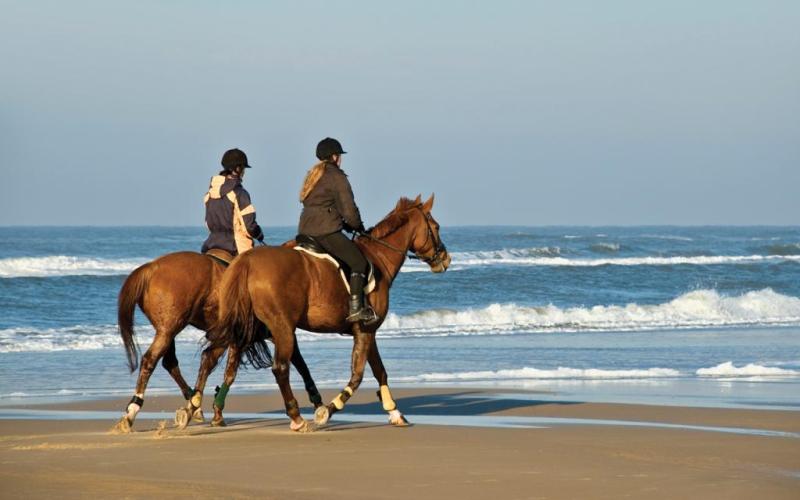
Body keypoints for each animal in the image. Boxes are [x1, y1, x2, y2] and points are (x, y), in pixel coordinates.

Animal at [113, 250, 323, 433]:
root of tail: (151, 268)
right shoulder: (275, 332)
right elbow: (298, 364)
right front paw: (317, 402)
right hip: (169, 329)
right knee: (151, 360)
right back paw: (133, 410)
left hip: (167, 330)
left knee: (169, 362)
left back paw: (192, 404)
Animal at [206, 194, 450, 432]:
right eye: (436, 227)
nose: (445, 259)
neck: (379, 257)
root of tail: (248, 261)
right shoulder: (365, 330)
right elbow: (357, 376)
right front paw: (328, 410)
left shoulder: (367, 332)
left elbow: (380, 371)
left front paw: (395, 412)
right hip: (281, 328)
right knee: (279, 368)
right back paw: (296, 418)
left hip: (251, 327)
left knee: (229, 363)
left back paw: (215, 410)